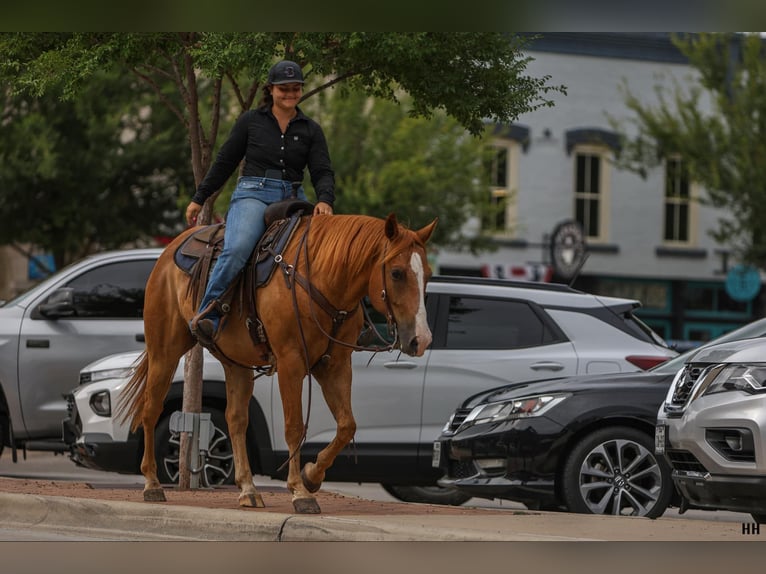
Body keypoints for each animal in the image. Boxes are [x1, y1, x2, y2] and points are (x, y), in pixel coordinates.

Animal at [118, 212, 438, 514]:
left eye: (428, 274)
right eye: (396, 273)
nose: (421, 339)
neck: (320, 281)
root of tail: (170, 249)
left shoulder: (335, 365)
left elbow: (347, 425)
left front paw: (312, 476)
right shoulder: (290, 362)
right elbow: (294, 426)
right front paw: (299, 491)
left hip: (236, 364)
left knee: (236, 419)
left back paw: (248, 489)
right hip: (164, 351)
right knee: (151, 409)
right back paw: (152, 484)